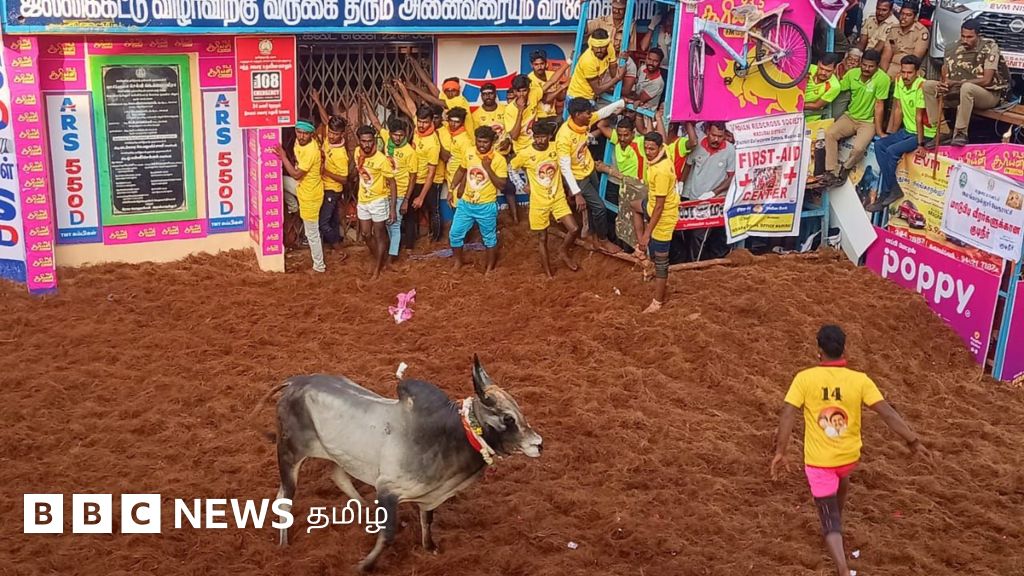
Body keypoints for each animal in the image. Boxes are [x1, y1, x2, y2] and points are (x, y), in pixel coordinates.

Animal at [250, 355, 543, 572]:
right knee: (284, 497)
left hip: (333, 453)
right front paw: (364, 566)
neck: (447, 436)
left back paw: (368, 510)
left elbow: (427, 520)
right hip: (289, 454)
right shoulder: (389, 488)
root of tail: (295, 381)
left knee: (338, 476)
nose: (538, 443)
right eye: (507, 418)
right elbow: (389, 535)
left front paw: (430, 548)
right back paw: (284, 545)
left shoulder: (427, 495)